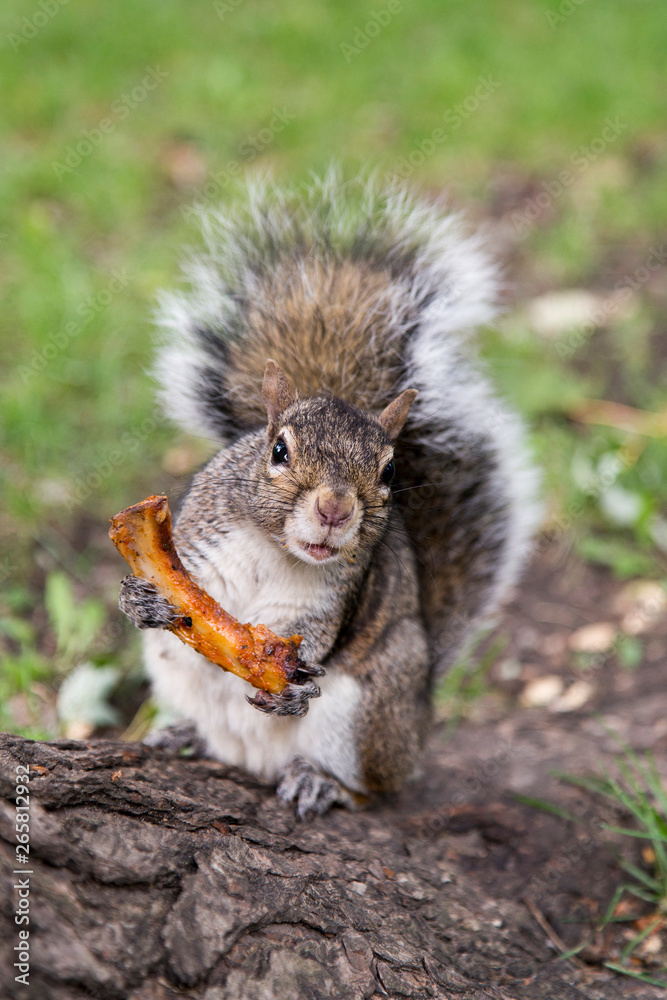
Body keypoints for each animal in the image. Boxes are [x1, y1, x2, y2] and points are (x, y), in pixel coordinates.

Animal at [118, 174, 540, 819]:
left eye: (390, 471)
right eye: (278, 451)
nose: (335, 509)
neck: (274, 550)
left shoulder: (327, 603)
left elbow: (313, 644)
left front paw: (293, 687)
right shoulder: (200, 549)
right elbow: (185, 597)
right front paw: (145, 601)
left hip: (366, 712)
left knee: (374, 791)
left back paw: (323, 782)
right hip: (175, 679)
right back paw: (184, 734)